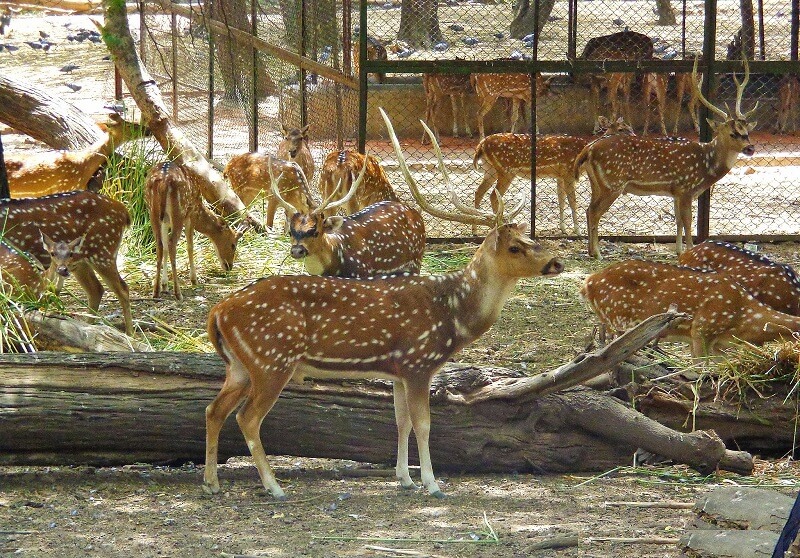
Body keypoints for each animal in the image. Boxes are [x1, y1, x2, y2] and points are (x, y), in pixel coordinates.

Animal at [0, 191, 133, 334]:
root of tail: (124, 210)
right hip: (81, 262)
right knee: (96, 289)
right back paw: (88, 327)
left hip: (104, 251)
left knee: (123, 289)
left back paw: (130, 333)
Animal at [145, 161, 241, 301]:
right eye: (233, 245)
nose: (229, 266)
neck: (199, 209)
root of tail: (163, 182)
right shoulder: (191, 215)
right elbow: (190, 246)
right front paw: (194, 280)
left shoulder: (166, 221)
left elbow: (165, 248)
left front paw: (164, 285)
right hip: (179, 212)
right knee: (172, 244)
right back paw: (178, 293)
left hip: (153, 212)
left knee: (160, 245)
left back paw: (156, 291)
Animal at [268, 159, 426, 277]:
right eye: (291, 232)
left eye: (316, 232)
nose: (297, 251)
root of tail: (416, 213)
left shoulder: (362, 272)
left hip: (416, 261)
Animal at [472, 116, 636, 236]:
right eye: (621, 129)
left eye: (630, 127)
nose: (635, 136)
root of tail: (481, 145)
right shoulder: (569, 172)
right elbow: (572, 202)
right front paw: (577, 231)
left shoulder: (559, 176)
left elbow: (561, 201)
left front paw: (563, 229)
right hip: (506, 170)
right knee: (493, 195)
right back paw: (498, 227)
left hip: (490, 170)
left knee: (479, 192)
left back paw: (476, 230)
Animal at [575, 56, 757, 258]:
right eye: (733, 133)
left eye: (747, 131)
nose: (750, 148)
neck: (705, 166)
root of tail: (588, 149)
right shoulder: (686, 188)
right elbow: (688, 222)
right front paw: (690, 250)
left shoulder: (676, 192)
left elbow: (678, 221)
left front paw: (678, 250)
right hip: (613, 183)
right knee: (594, 212)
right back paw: (598, 253)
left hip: (598, 184)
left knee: (588, 209)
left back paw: (590, 251)